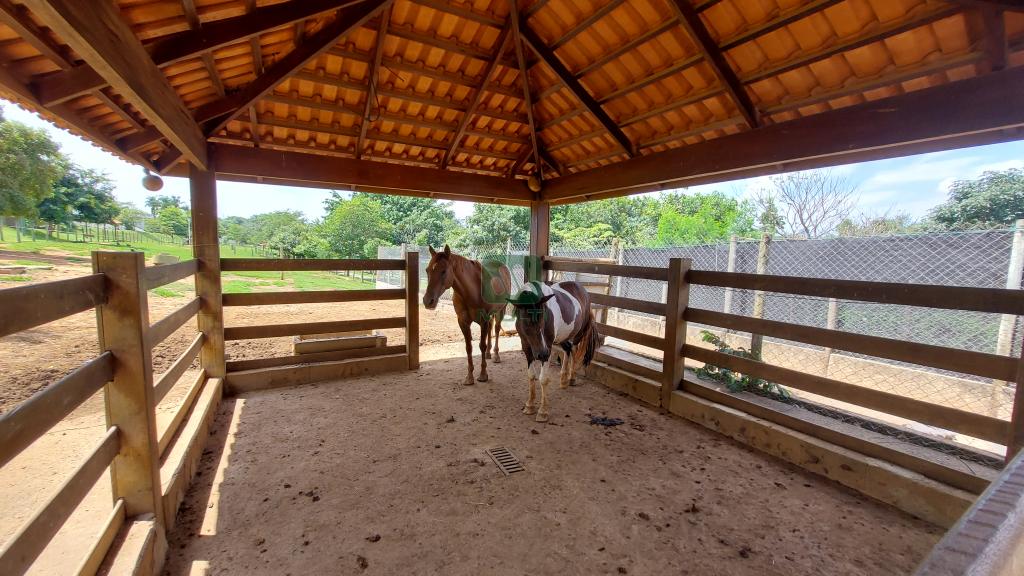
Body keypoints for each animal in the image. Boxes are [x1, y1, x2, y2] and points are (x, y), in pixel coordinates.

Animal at [421, 242, 512, 383]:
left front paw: (483, 375)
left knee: (496, 329)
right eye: (427, 270)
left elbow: (482, 345)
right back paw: (488, 354)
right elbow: (468, 347)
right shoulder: (463, 321)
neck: (471, 291)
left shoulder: (483, 320)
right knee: (491, 328)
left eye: (444, 271)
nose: (428, 301)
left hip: (500, 311)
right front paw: (469, 377)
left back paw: (496, 355)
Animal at [505, 278, 598, 420]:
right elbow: (531, 375)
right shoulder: (527, 348)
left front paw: (543, 411)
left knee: (574, 351)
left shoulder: (547, 347)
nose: (542, 354)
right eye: (525, 321)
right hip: (562, 339)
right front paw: (530, 405)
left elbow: (543, 379)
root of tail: (583, 290)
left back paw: (572, 378)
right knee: (568, 349)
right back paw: (564, 380)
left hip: (577, 335)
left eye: (543, 319)